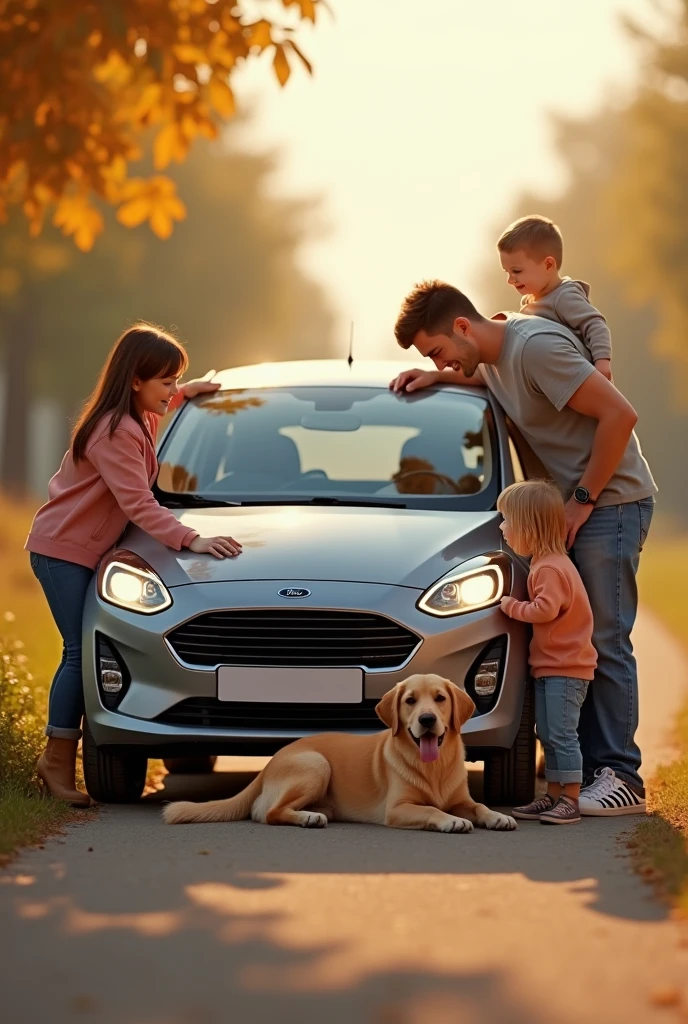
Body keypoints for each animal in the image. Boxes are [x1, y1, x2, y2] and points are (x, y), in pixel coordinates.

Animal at [161, 671, 516, 831]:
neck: (434, 767)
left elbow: (479, 805)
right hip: (315, 764)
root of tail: (271, 762)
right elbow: (431, 809)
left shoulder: (462, 799)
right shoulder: (397, 809)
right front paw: (450, 820)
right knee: (268, 813)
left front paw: (498, 816)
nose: (426, 720)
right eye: (410, 701)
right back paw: (309, 817)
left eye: (440, 698)